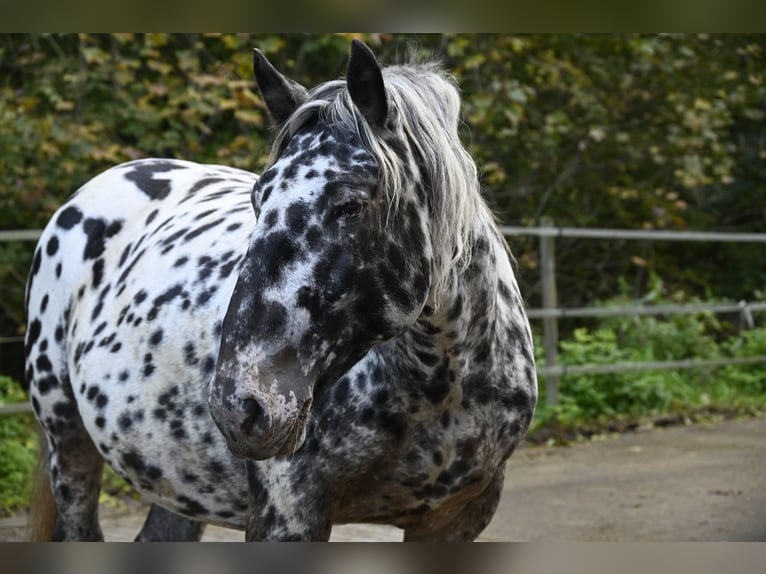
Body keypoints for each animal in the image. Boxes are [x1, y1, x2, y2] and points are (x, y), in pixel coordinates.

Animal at [25, 38, 540, 544]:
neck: (441, 386)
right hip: (68, 443)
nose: (240, 407)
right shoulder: (287, 516)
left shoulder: (454, 519)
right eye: (257, 199)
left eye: (350, 204)